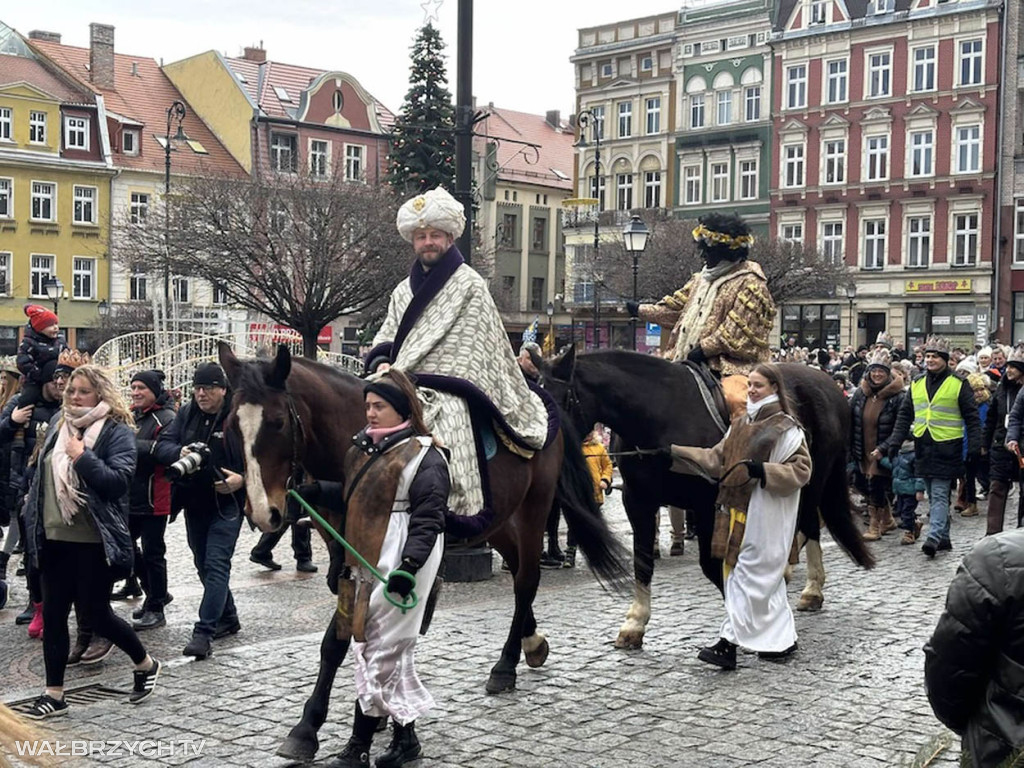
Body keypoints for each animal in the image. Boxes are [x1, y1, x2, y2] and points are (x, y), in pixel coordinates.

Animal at [218, 344, 622, 765]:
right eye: (231, 426)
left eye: (278, 422)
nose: (263, 512)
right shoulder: (347, 559)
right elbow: (353, 636)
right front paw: (372, 715)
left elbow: (335, 642)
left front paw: (309, 726)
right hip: (497, 521)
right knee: (517, 574)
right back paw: (532, 640)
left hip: (533, 509)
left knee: (527, 580)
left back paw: (506, 665)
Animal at [540, 348, 876, 651]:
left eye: (556, 401)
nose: (543, 453)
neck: (659, 413)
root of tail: (828, 384)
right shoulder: (638, 502)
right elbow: (643, 560)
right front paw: (635, 624)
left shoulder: (706, 504)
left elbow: (710, 564)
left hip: (812, 480)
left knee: (809, 524)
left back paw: (812, 589)